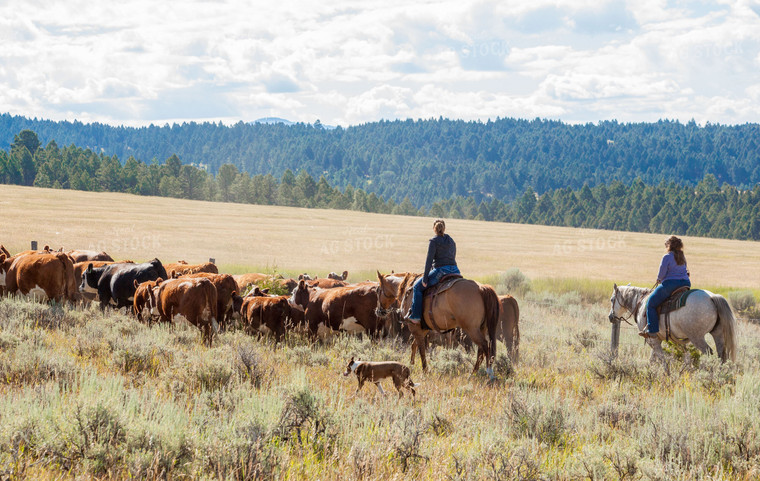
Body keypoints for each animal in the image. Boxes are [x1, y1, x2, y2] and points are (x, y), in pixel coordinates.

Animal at [604, 284, 736, 362]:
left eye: (611, 299)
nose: (610, 317)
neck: (640, 303)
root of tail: (712, 297)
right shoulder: (657, 339)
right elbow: (653, 359)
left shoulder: (652, 340)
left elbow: (661, 359)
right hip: (717, 334)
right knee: (721, 355)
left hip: (697, 337)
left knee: (708, 353)